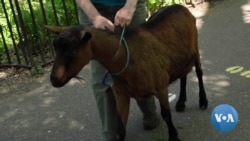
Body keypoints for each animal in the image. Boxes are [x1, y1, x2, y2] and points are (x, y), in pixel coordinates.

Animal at [45, 4, 207, 141]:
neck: (126, 57)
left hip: (195, 48)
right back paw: (180, 102)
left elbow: (166, 114)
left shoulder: (161, 86)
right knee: (183, 74)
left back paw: (203, 101)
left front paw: (174, 137)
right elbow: (120, 128)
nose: (54, 79)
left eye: (73, 49)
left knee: (199, 72)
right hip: (181, 55)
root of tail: (181, 6)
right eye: (55, 47)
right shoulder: (121, 95)